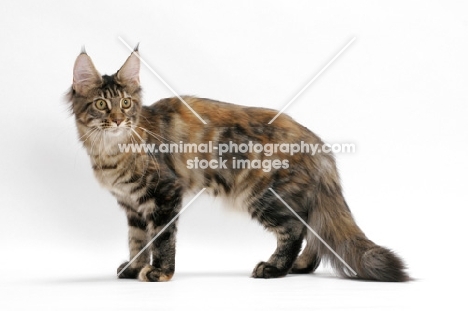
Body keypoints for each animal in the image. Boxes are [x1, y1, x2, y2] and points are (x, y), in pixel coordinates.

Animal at [67, 48, 408, 282]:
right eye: (101, 104)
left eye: (126, 103)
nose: (118, 120)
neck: (110, 150)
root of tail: (318, 143)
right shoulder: (132, 206)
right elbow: (137, 240)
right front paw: (135, 267)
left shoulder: (165, 193)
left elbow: (161, 239)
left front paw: (158, 272)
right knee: (314, 229)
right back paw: (299, 266)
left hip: (261, 194)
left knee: (296, 228)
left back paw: (275, 268)